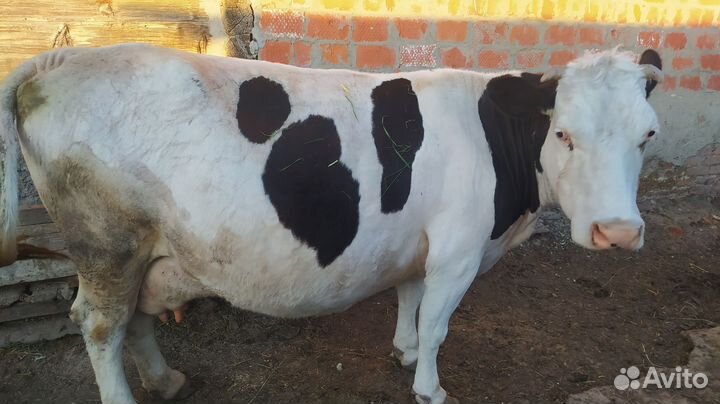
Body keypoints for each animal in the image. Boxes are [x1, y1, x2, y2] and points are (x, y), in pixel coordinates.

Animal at [0, 44, 662, 404]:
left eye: (647, 135)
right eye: (563, 134)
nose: (618, 232)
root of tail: (64, 60)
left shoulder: (417, 244)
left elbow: (409, 299)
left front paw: (403, 351)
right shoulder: (458, 253)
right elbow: (438, 326)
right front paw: (429, 385)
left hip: (146, 250)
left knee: (136, 317)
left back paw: (166, 381)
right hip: (106, 244)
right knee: (100, 324)